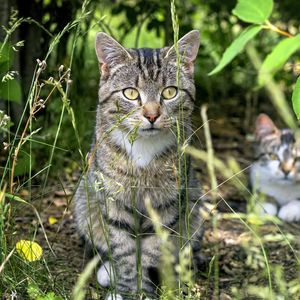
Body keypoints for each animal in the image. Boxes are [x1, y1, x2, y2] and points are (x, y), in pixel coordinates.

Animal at [74, 31, 203, 300]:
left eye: (170, 92)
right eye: (131, 94)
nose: (152, 115)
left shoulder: (166, 206)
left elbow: (151, 253)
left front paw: (145, 290)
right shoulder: (113, 202)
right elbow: (124, 253)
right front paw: (127, 290)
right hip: (84, 205)